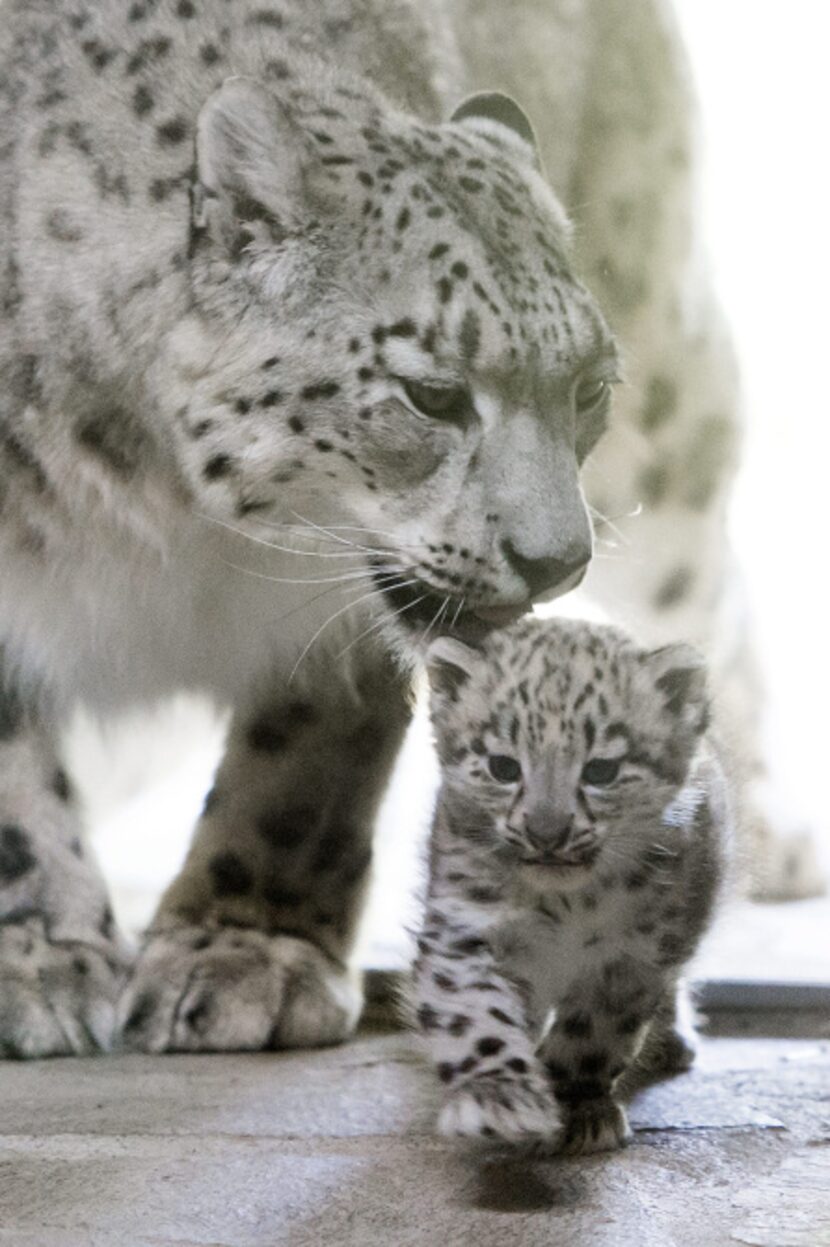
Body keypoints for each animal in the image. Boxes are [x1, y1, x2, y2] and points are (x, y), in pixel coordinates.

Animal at [0, 0, 797, 1057]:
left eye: (589, 387)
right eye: (433, 393)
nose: (559, 559)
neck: (164, 521)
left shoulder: (331, 639)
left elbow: (302, 774)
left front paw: (242, 955)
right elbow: (13, 786)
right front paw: (42, 958)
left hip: (675, 399)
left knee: (700, 586)